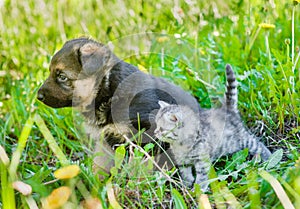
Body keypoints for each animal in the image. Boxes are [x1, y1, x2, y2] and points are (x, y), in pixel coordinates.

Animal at [38, 38, 202, 175]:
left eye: (62, 77)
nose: (38, 96)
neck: (107, 89)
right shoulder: (106, 138)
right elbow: (101, 164)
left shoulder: (148, 134)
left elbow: (143, 165)